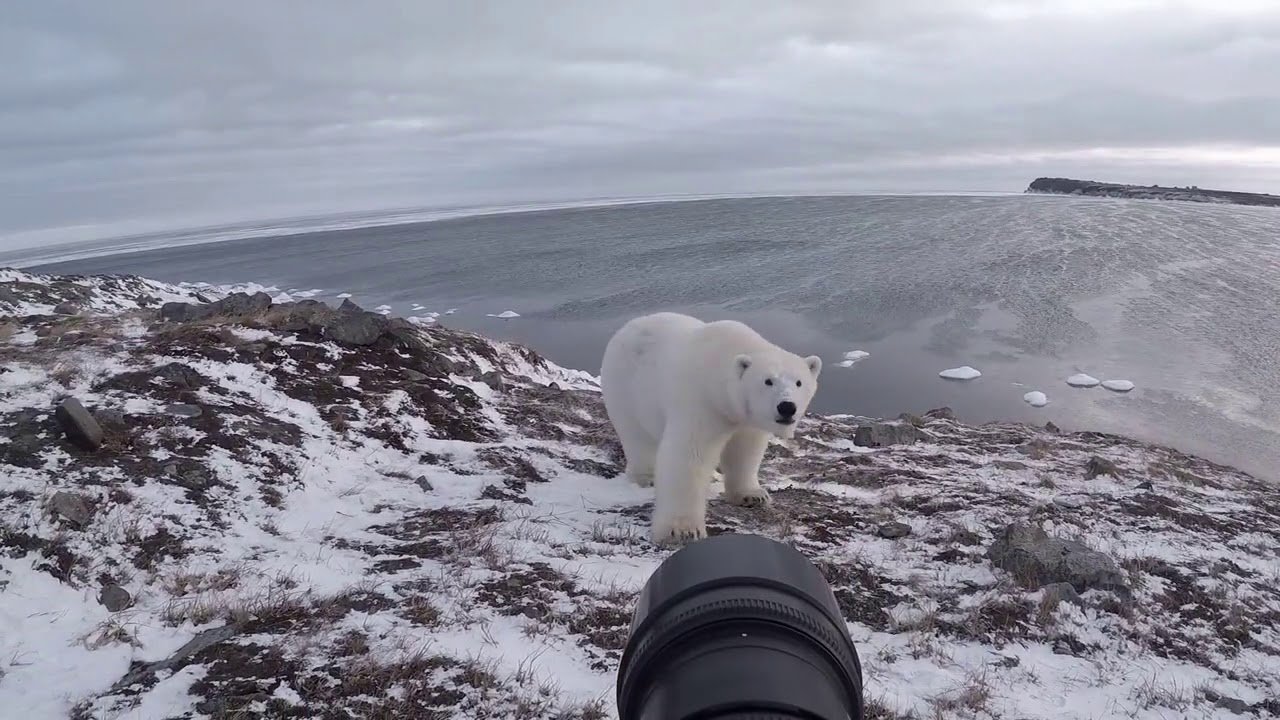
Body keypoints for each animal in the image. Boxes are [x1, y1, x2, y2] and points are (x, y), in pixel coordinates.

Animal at [596, 311, 819, 540]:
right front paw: (682, 530)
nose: (787, 407)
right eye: (768, 381)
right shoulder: (701, 402)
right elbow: (688, 457)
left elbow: (745, 450)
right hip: (626, 389)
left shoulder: (744, 417)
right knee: (636, 438)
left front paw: (753, 495)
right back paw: (646, 477)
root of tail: (629, 326)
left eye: (799, 382)